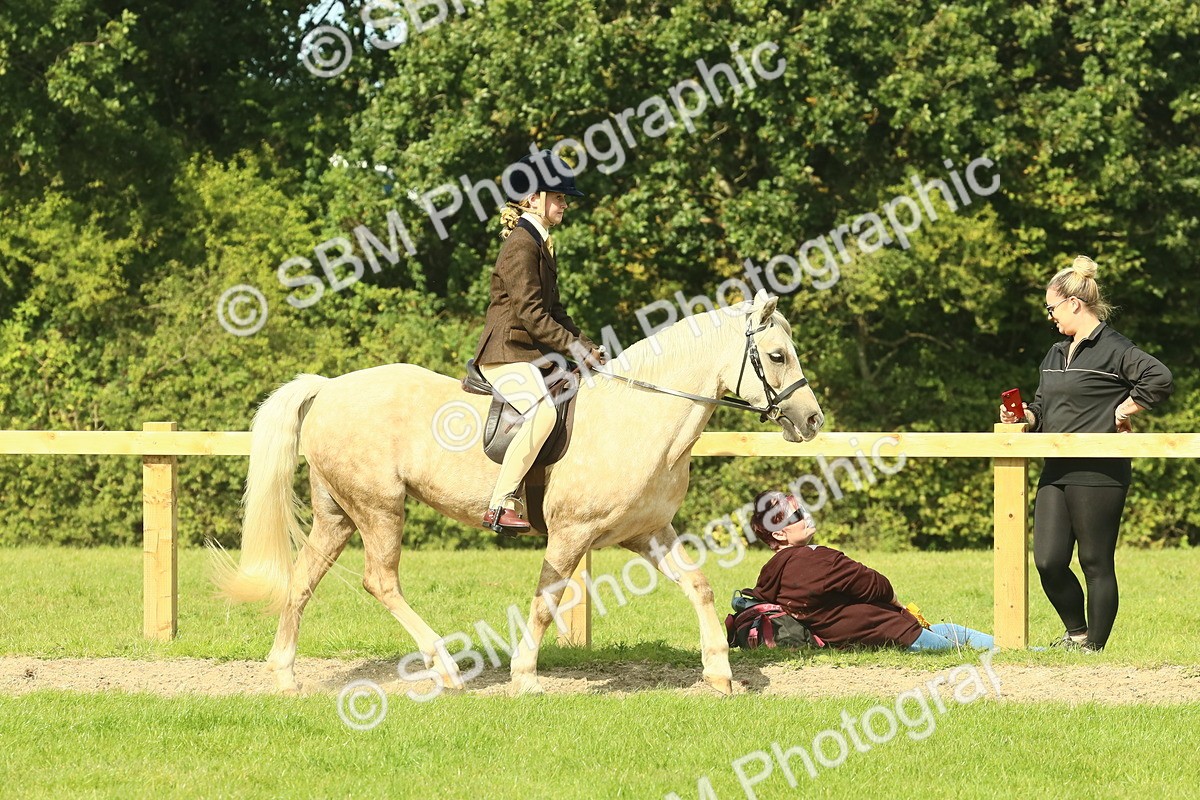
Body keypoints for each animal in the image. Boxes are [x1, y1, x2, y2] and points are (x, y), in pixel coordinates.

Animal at [214, 290, 825, 696]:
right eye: (777, 356)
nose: (812, 419)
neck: (641, 415)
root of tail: (329, 388)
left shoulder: (647, 531)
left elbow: (698, 585)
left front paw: (720, 672)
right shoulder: (572, 533)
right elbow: (546, 600)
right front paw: (526, 677)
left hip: (337, 514)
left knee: (303, 580)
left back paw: (285, 676)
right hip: (379, 507)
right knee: (380, 581)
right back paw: (447, 669)